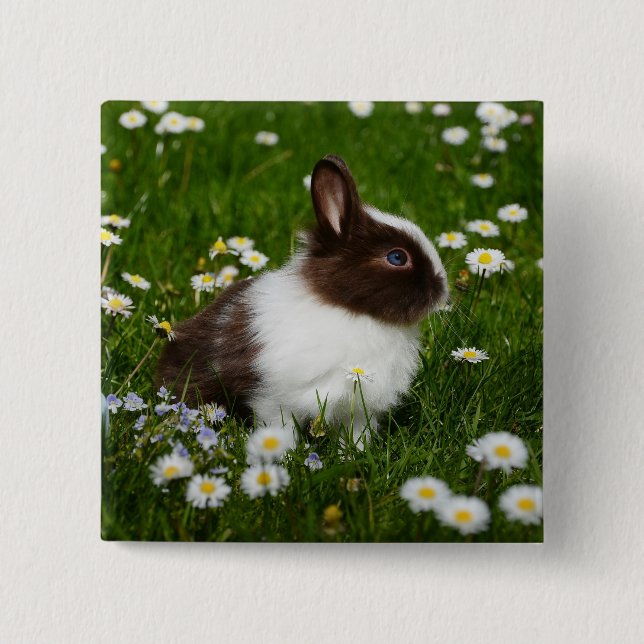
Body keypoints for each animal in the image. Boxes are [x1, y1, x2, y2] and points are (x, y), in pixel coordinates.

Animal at [156, 155, 448, 446]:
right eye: (397, 257)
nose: (443, 291)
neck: (351, 311)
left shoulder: (358, 409)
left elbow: (355, 434)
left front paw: (355, 452)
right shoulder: (273, 398)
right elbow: (279, 429)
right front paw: (281, 453)